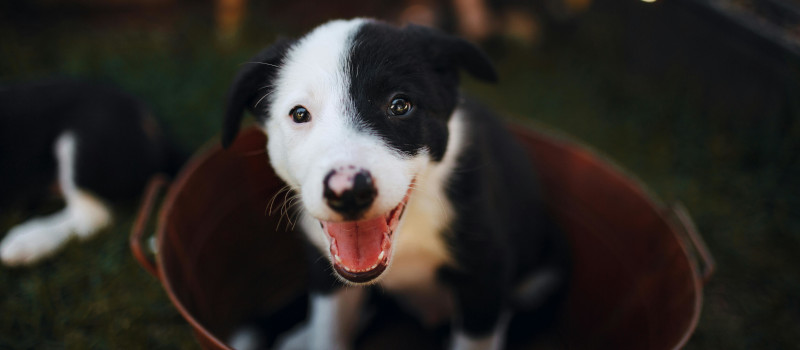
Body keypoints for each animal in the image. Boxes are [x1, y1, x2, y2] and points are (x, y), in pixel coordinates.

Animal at [222, 19, 564, 350]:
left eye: (400, 106)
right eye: (299, 114)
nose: (349, 191)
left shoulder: (486, 274)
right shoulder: (326, 274)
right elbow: (328, 333)